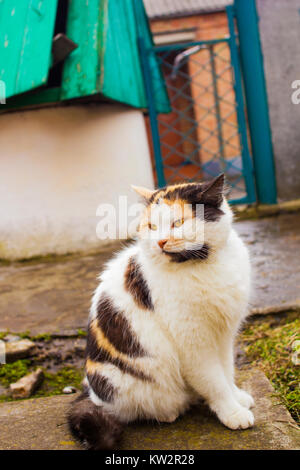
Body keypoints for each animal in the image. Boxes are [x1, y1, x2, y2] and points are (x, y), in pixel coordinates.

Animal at [69, 174, 254, 450]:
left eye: (178, 223)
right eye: (151, 226)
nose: (160, 241)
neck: (202, 264)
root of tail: (90, 393)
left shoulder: (224, 336)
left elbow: (227, 372)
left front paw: (238, 397)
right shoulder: (193, 343)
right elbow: (214, 382)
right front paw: (232, 412)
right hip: (119, 380)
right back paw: (169, 412)